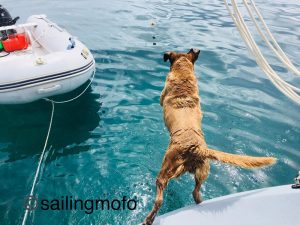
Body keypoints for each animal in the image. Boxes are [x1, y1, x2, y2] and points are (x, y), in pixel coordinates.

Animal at [143, 48, 276, 224]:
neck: (183, 74)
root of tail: (196, 149)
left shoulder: (162, 96)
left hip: (165, 170)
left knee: (159, 197)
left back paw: (149, 218)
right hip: (202, 173)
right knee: (195, 194)